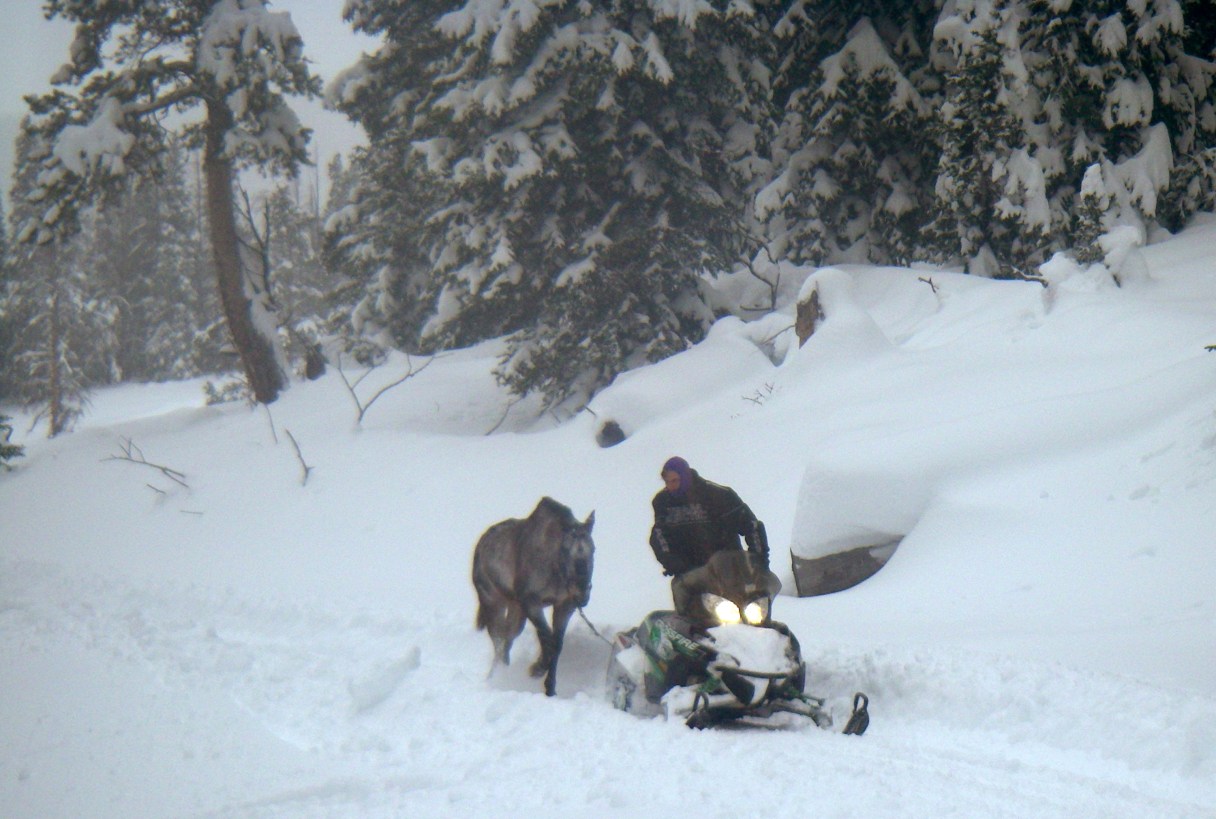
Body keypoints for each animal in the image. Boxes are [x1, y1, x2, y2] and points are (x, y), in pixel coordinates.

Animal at [472, 497, 595, 697]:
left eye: (593, 550)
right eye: (565, 551)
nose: (582, 595)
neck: (555, 570)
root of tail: (480, 545)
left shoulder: (564, 605)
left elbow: (556, 643)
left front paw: (550, 687)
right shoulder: (531, 602)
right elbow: (547, 638)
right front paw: (536, 669)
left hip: (516, 609)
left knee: (507, 640)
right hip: (492, 601)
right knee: (498, 641)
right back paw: (497, 678)